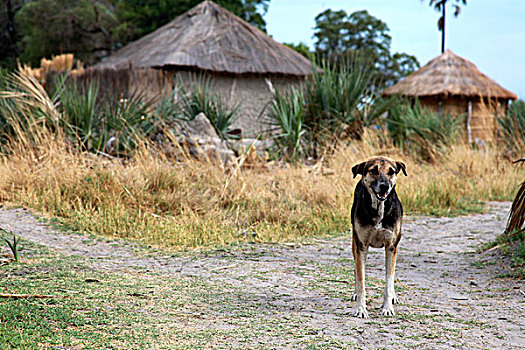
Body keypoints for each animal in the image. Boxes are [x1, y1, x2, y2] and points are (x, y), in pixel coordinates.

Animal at [350, 156, 408, 318]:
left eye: (391, 172)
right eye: (374, 170)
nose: (384, 187)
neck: (379, 208)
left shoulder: (391, 247)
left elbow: (389, 279)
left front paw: (387, 307)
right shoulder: (361, 246)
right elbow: (361, 280)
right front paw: (361, 309)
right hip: (354, 243)